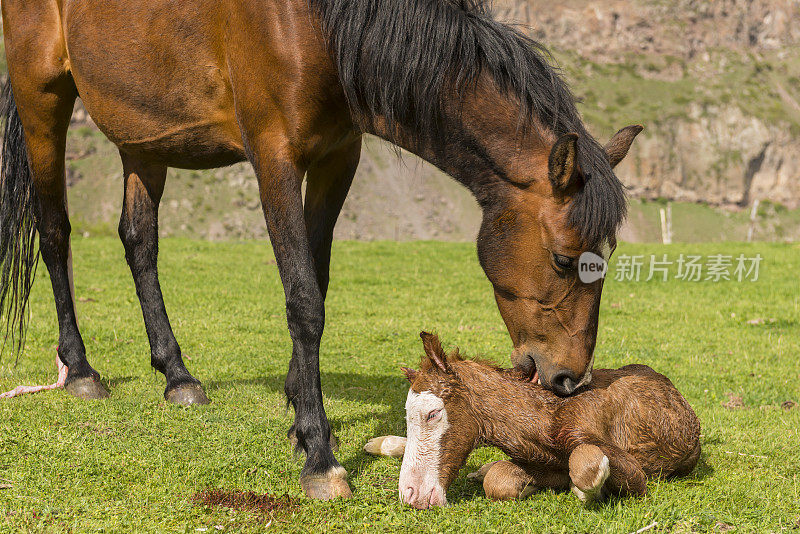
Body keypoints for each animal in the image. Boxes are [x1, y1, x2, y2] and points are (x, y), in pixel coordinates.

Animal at [0, 0, 636, 500]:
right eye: (564, 259)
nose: (569, 380)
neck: (316, 23)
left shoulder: (337, 158)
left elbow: (318, 279)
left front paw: (303, 417)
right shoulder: (274, 158)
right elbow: (303, 298)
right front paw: (319, 457)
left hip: (143, 135)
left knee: (139, 242)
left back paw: (177, 376)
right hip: (43, 99)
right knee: (54, 233)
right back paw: (81, 368)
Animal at [368, 332, 700, 512]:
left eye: (433, 414)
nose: (411, 495)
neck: (544, 422)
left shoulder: (633, 473)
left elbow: (585, 464)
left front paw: (586, 492)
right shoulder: (541, 461)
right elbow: (498, 480)